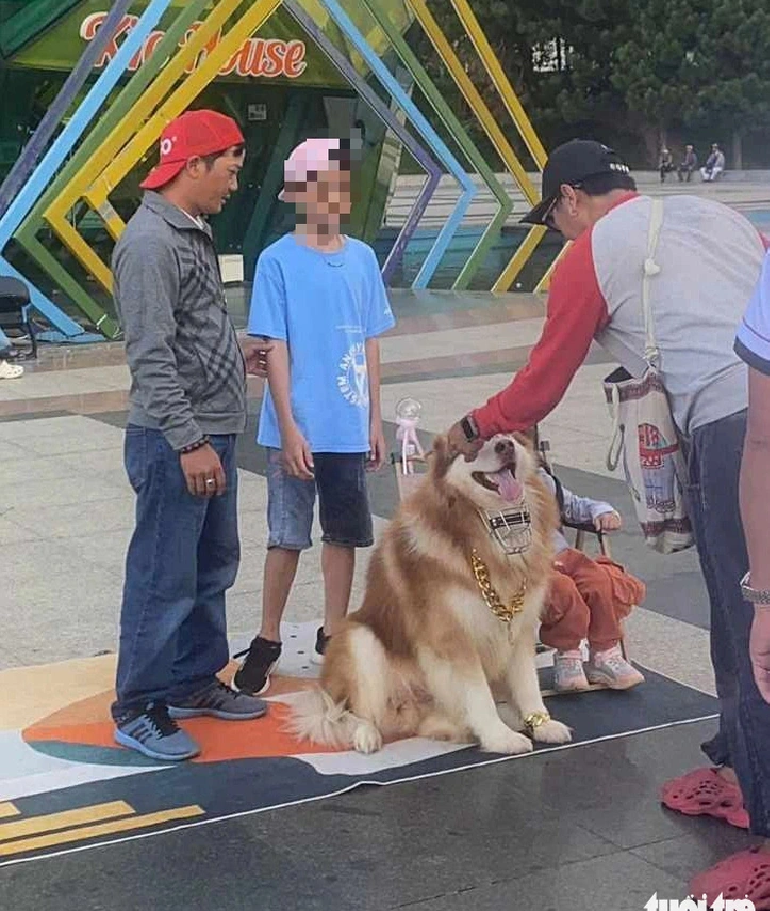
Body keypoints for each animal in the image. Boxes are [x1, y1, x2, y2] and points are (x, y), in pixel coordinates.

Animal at [288, 434, 568, 756]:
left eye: (507, 435)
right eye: (473, 440)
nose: (504, 445)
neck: (491, 528)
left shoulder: (519, 630)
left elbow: (527, 684)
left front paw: (541, 723)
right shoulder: (453, 639)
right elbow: (478, 693)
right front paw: (499, 737)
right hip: (361, 640)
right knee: (353, 712)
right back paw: (367, 735)